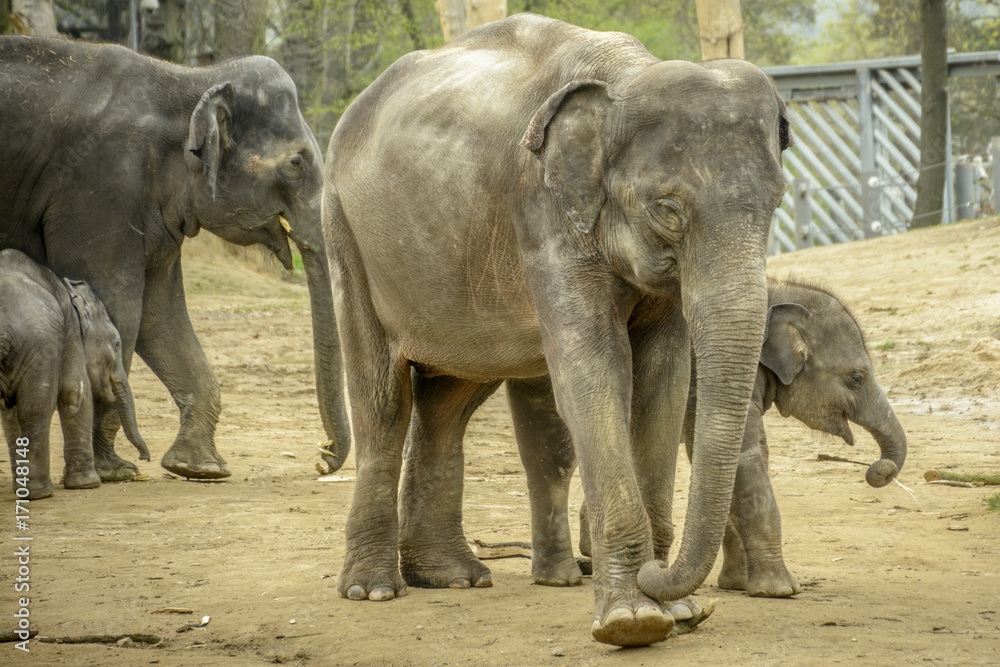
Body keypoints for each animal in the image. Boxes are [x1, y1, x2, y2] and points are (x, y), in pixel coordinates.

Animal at [1, 249, 149, 500]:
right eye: (117, 345)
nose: (143, 459)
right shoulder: (68, 329)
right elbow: (74, 392)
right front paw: (89, 484)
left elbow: (8, 414)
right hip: (40, 343)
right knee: (36, 409)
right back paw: (40, 493)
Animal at [322, 15, 790, 647]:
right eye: (668, 209)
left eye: (777, 203)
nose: (662, 575)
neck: (626, 76)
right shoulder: (541, 207)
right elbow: (594, 375)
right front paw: (634, 622)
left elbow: (662, 384)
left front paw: (675, 614)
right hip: (344, 231)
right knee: (383, 399)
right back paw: (372, 590)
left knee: (451, 399)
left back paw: (452, 577)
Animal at [564, 278, 907, 600]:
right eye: (856, 378)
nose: (880, 470)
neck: (774, 293)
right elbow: (742, 457)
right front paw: (778, 590)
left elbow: (749, 457)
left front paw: (737, 584)